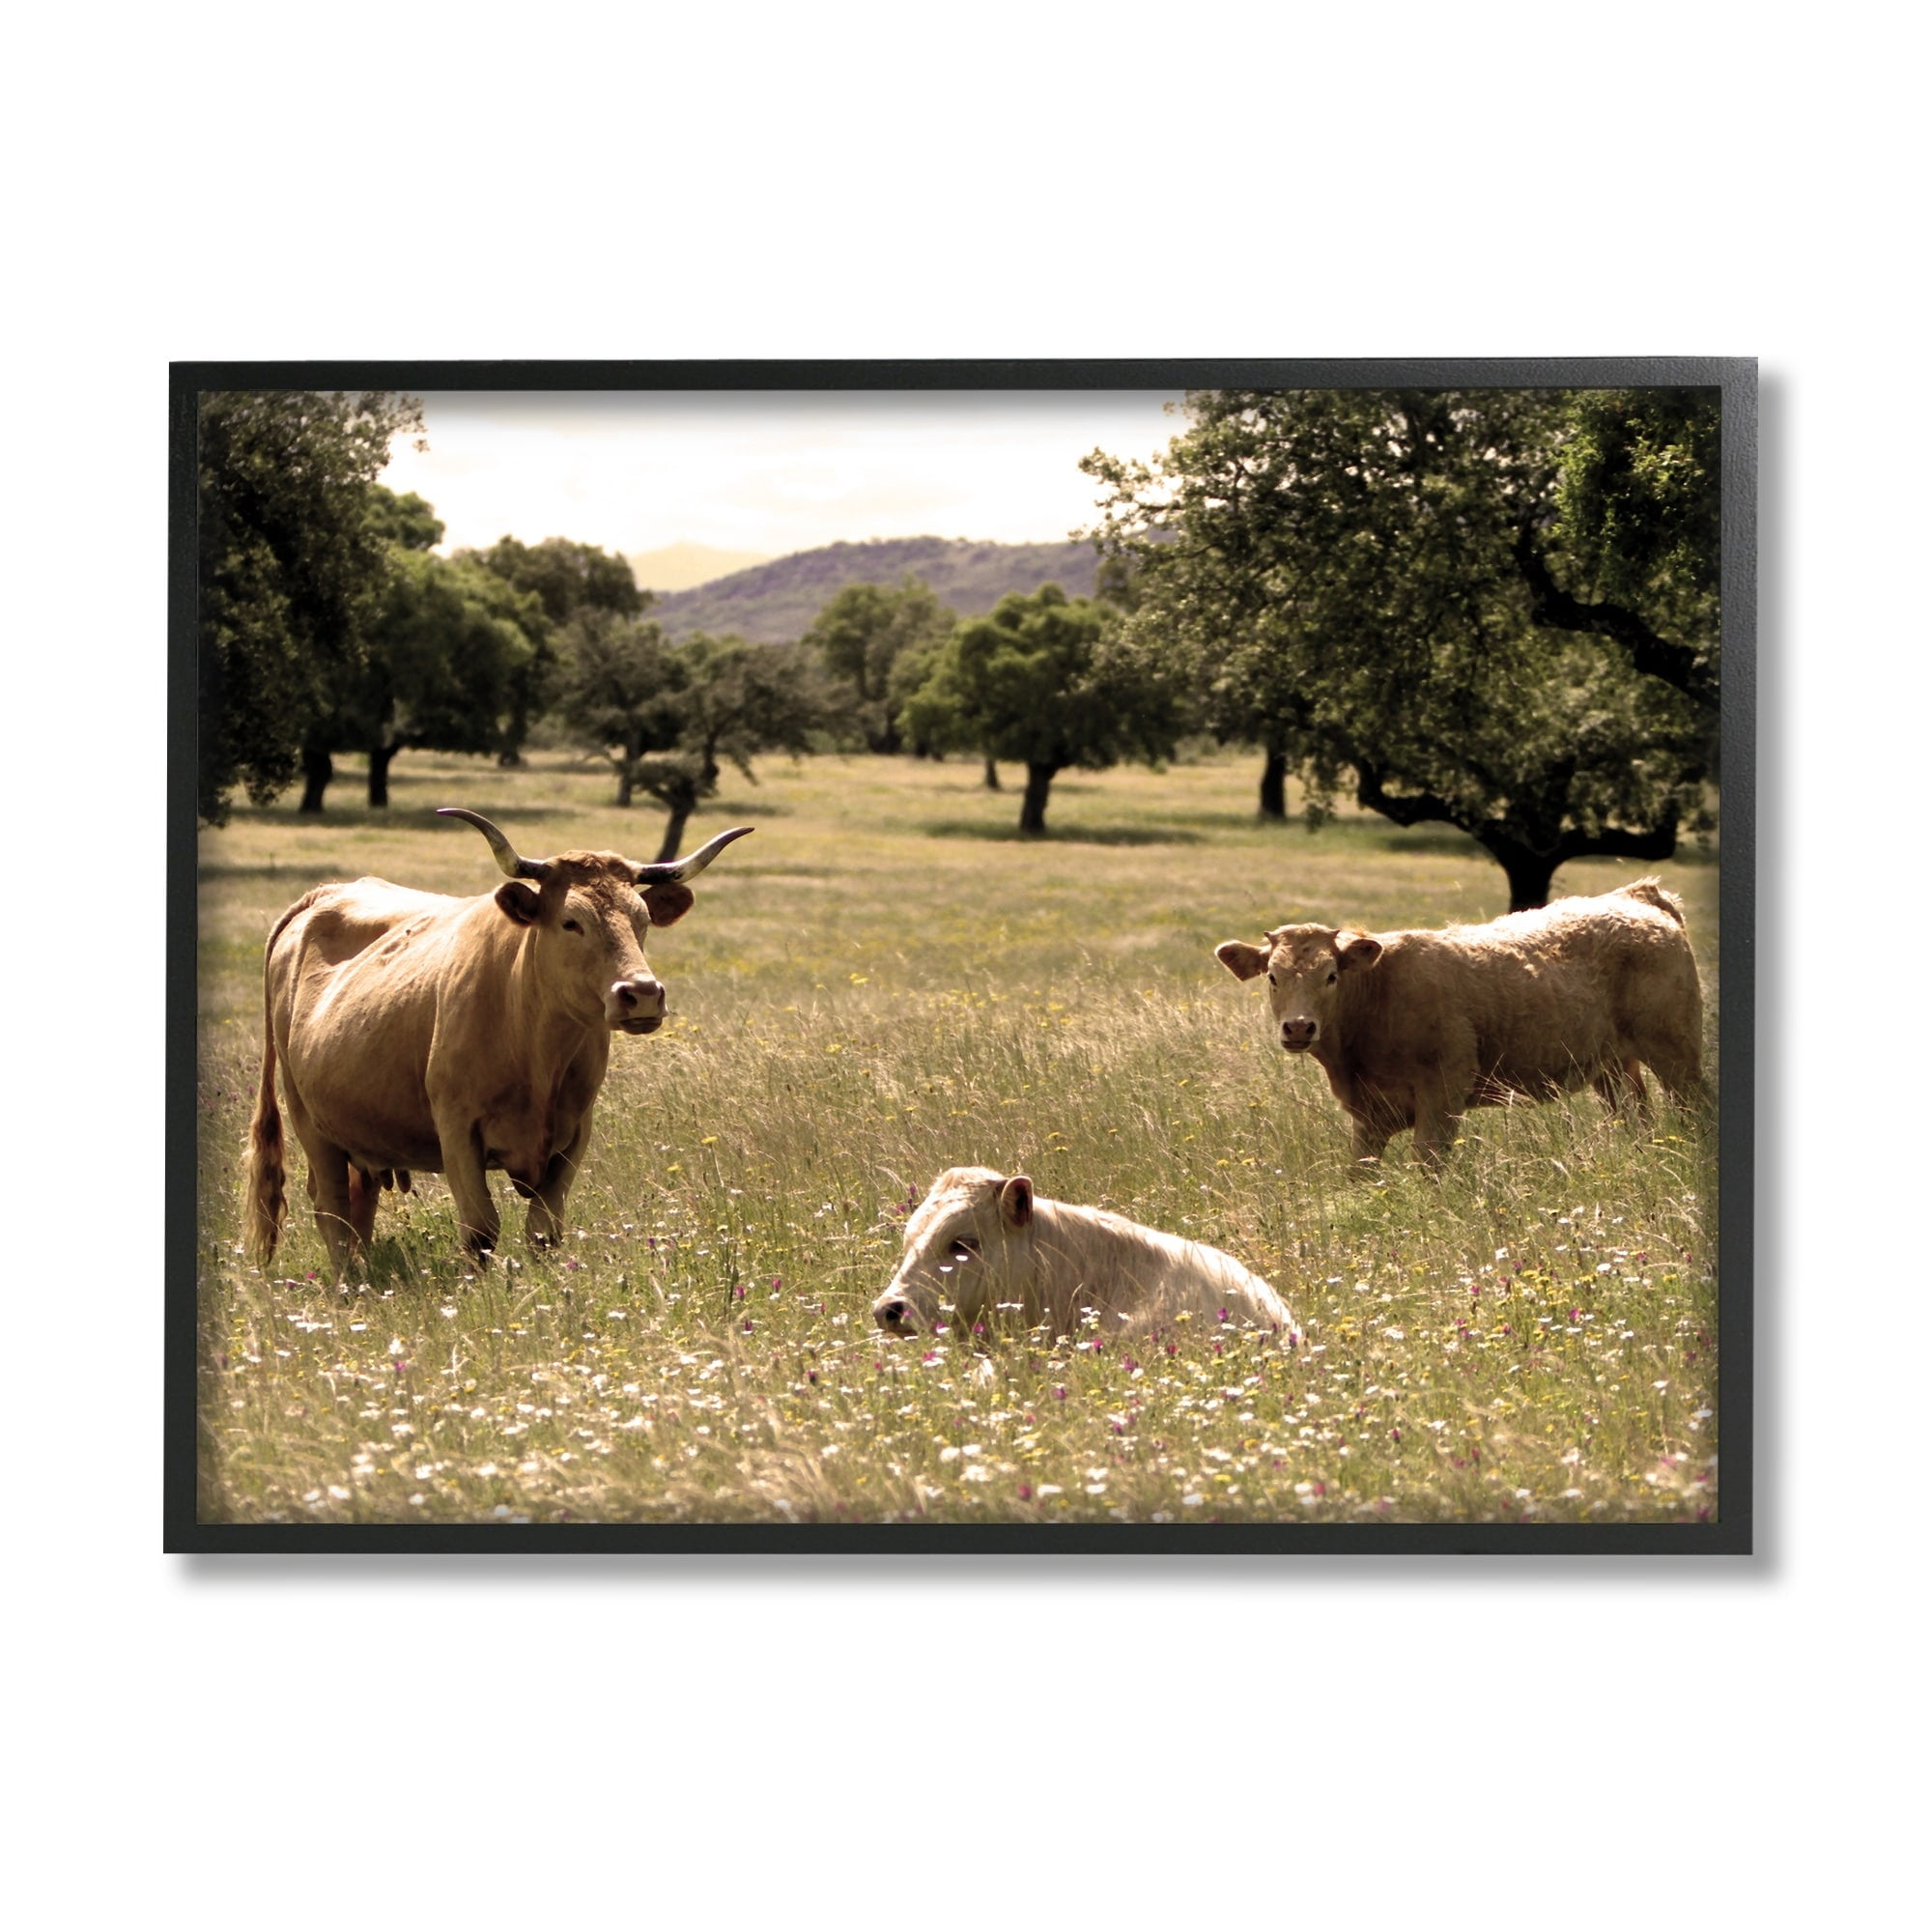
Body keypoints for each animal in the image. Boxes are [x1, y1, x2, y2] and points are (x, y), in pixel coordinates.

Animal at [244, 808, 751, 1269]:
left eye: (642, 920)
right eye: (571, 921)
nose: (642, 993)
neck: (535, 1050)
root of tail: (325, 893)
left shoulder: (574, 1134)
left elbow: (544, 1230)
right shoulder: (457, 1130)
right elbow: (480, 1230)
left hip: (360, 1129)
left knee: (357, 1205)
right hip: (308, 1119)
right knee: (330, 1208)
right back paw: (349, 1284)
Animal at [1213, 878, 1703, 1167]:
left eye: (1331, 975)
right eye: (1272, 976)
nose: (1299, 1028)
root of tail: (1635, 896)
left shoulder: (1442, 1094)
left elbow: (1428, 1166)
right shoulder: (1368, 1118)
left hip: (1676, 1052)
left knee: (1693, 1109)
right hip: (1614, 1066)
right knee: (1636, 1117)